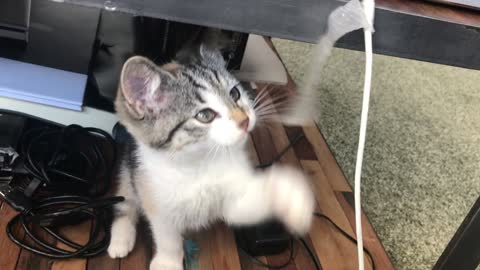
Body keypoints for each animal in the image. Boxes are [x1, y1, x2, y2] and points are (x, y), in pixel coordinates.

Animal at [106, 41, 314, 268]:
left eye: (235, 94)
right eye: (205, 115)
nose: (244, 121)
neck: (199, 162)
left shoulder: (233, 197)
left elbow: (246, 205)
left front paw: (292, 196)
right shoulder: (156, 198)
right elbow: (167, 237)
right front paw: (167, 263)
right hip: (130, 169)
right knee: (125, 200)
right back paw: (120, 239)